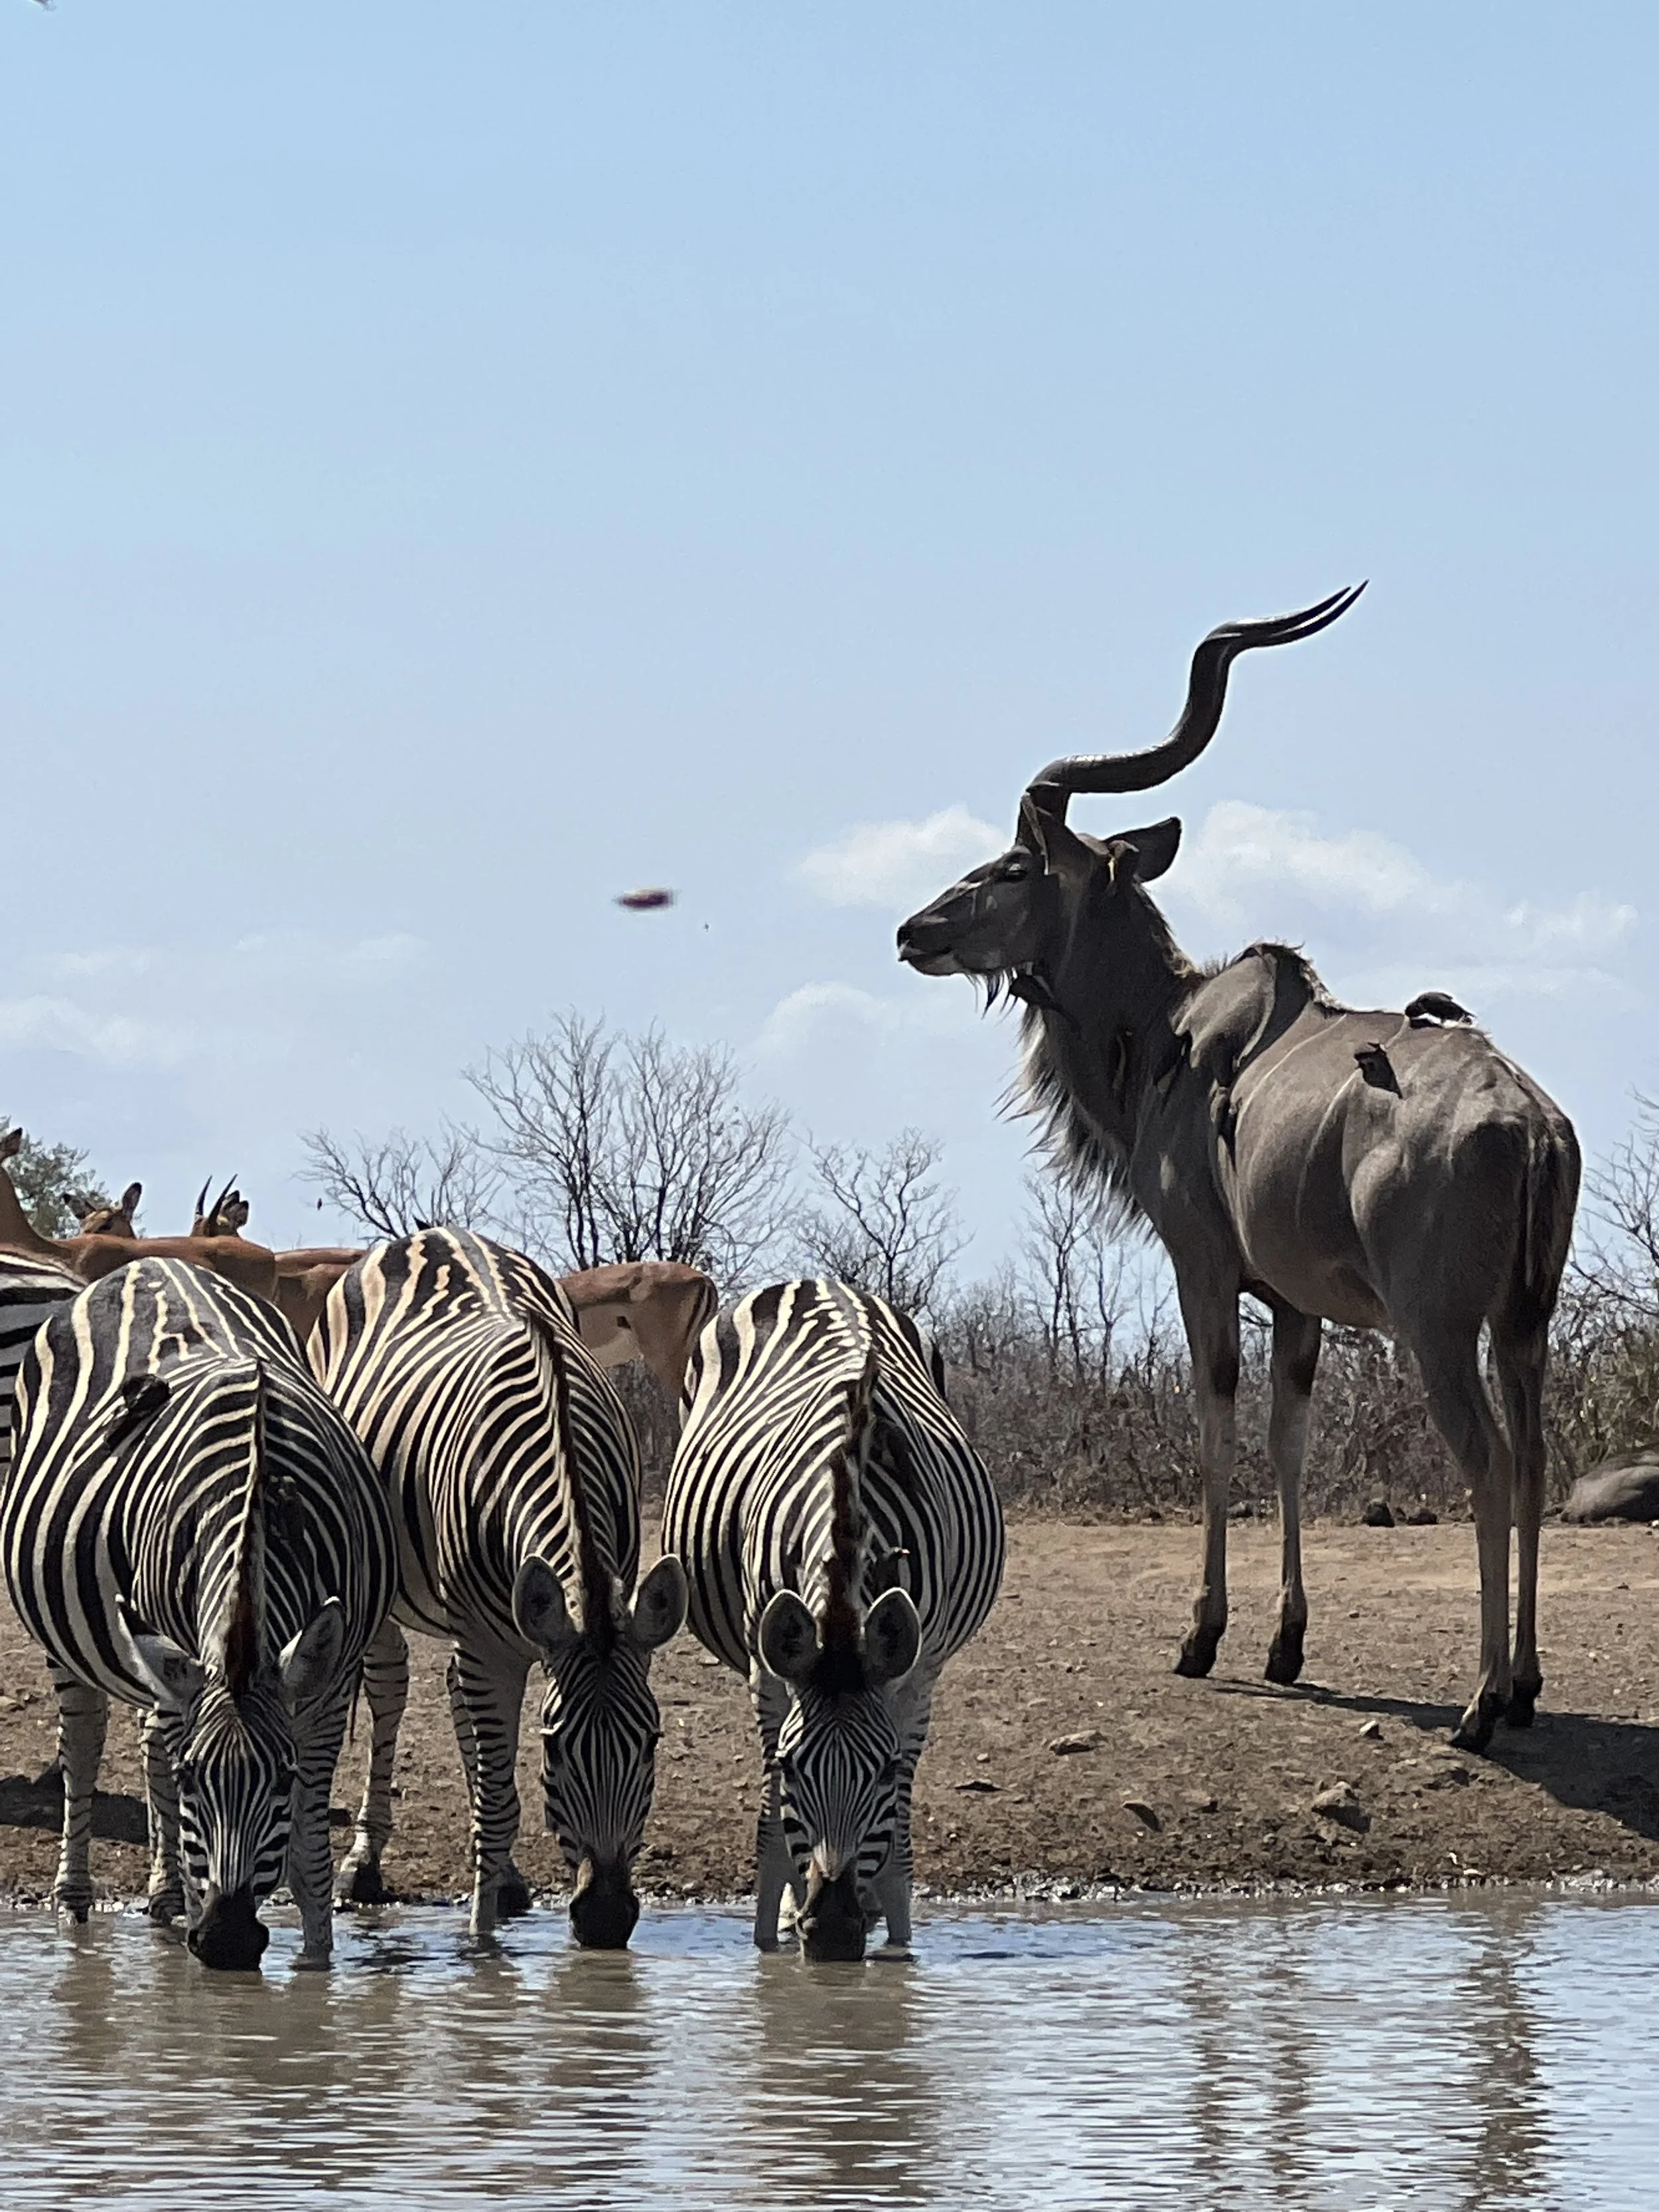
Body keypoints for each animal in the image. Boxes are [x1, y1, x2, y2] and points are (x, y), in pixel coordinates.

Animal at [311, 1228, 690, 1946]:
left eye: (653, 1740)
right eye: (554, 1745)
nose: (605, 1921)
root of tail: (435, 1233)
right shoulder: (491, 1644)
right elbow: (500, 1801)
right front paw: (481, 1945)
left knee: (456, 1696)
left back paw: (506, 1876)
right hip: (380, 1573)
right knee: (390, 1689)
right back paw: (362, 1864)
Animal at [662, 1278, 1005, 1961]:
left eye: (882, 1770)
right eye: (795, 1767)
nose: (835, 1934)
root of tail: (821, 1281)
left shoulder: (916, 1673)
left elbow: (898, 1832)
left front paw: (894, 1940)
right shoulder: (769, 1672)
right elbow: (773, 1824)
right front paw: (773, 1932)